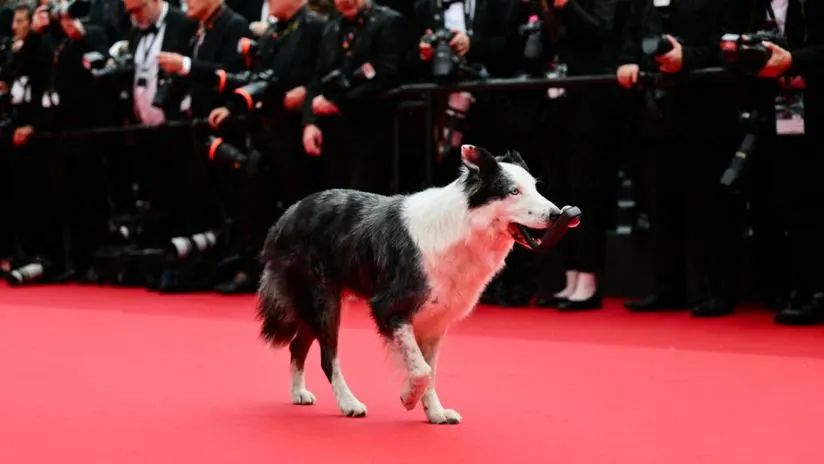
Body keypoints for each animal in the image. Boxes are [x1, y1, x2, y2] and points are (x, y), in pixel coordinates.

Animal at [258, 145, 560, 424]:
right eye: (513, 191)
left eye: (535, 187)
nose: (557, 214)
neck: (463, 227)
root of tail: (288, 213)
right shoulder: (390, 307)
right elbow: (421, 369)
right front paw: (408, 396)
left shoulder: (436, 320)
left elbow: (430, 370)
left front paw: (435, 413)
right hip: (323, 298)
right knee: (327, 356)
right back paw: (348, 403)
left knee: (297, 345)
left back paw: (298, 393)